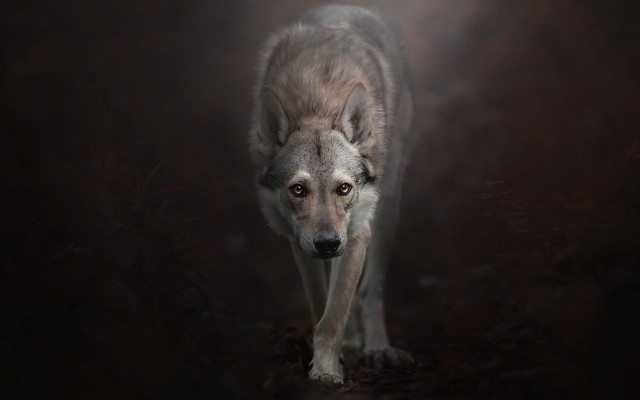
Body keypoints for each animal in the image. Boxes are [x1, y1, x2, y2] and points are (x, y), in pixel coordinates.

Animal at [249, 5, 414, 384]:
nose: (327, 243)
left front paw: (325, 374)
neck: (317, 103)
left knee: (371, 290)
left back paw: (377, 347)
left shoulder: (357, 234)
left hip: (386, 212)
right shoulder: (299, 242)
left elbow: (335, 312)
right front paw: (330, 362)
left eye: (344, 188)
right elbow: (322, 305)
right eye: (298, 189)